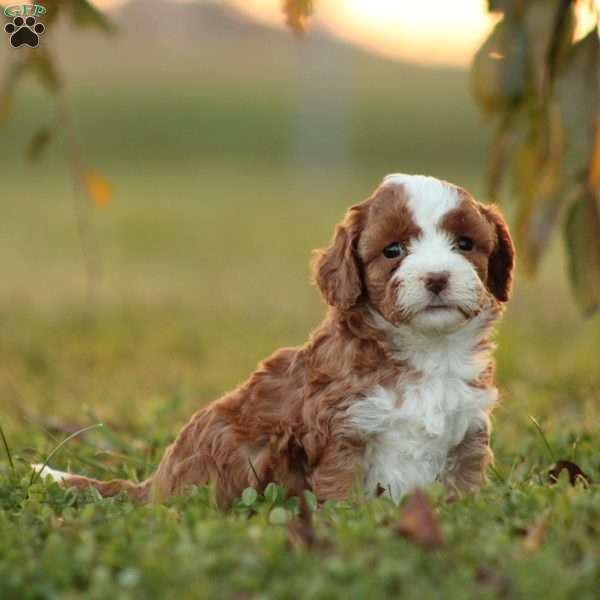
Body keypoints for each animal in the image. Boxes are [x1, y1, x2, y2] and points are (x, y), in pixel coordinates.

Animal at [36, 175, 516, 506]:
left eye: (465, 244)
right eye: (393, 251)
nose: (436, 277)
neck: (426, 350)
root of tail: (154, 486)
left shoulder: (466, 433)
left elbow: (463, 488)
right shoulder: (342, 433)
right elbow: (341, 492)